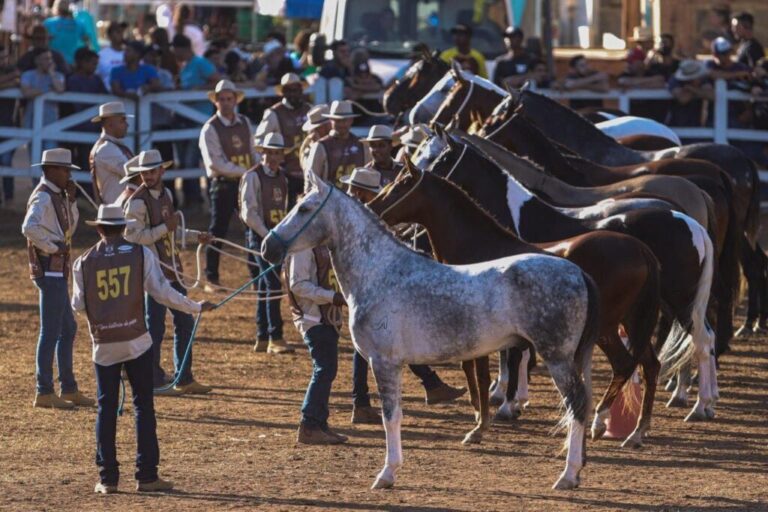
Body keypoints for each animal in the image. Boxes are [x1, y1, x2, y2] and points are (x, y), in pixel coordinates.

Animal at [261, 171, 601, 490]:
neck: (380, 274)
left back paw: (567, 476)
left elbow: (390, 417)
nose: (268, 247)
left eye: (304, 208)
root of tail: (578, 272)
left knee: (576, 405)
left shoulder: (384, 363)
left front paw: (387, 474)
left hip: (556, 358)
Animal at [368, 164, 662, 448]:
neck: (479, 250)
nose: (372, 208)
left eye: (400, 185)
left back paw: (600, 421)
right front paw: (485, 413)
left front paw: (481, 425)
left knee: (624, 364)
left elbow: (481, 374)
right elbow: (474, 369)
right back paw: (636, 432)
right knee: (650, 365)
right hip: (632, 322)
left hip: (607, 327)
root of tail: (641, 249)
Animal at [413, 132, 718, 422]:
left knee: (700, 341)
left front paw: (509, 399)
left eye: (440, 159)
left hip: (679, 300)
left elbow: (513, 354)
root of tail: (692, 224)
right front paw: (513, 398)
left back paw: (695, 404)